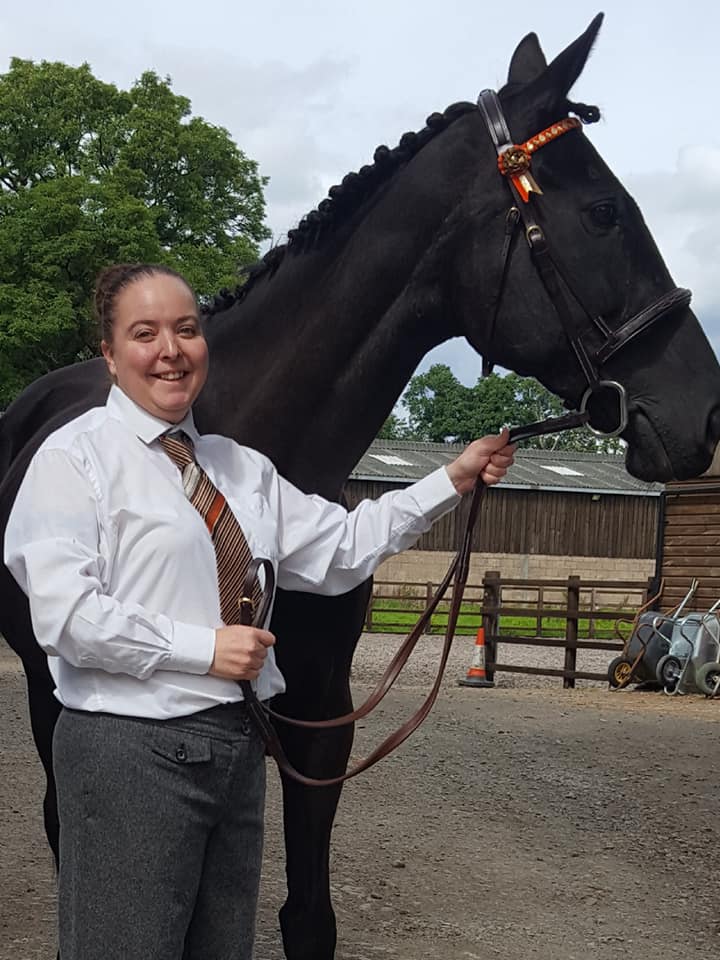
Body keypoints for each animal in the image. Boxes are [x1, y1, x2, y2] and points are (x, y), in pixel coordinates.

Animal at [1, 15, 720, 960]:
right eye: (605, 211)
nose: (707, 411)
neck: (251, 430)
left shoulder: (321, 714)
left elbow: (309, 917)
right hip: (45, 693)